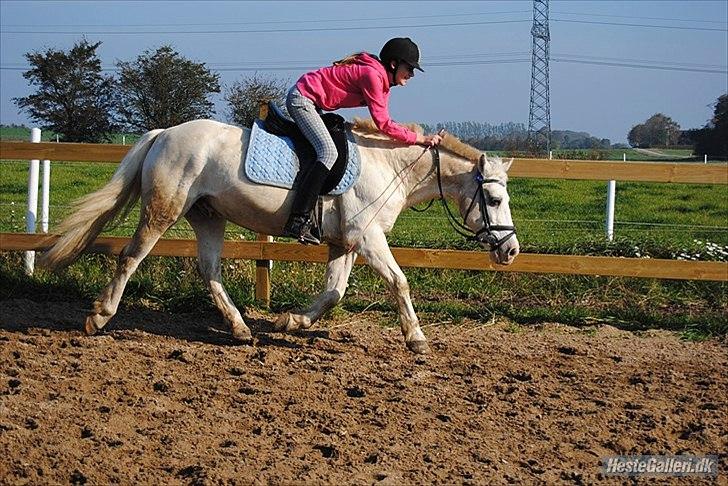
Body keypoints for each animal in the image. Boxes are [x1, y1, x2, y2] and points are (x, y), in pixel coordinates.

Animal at [38, 117, 516, 354]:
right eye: (493, 200)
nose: (510, 251)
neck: (389, 165)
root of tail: (164, 133)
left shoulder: (345, 242)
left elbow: (334, 292)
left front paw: (291, 321)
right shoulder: (366, 238)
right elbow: (399, 282)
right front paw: (416, 338)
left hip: (207, 216)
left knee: (209, 269)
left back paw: (239, 328)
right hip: (163, 209)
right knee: (131, 256)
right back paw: (99, 317)